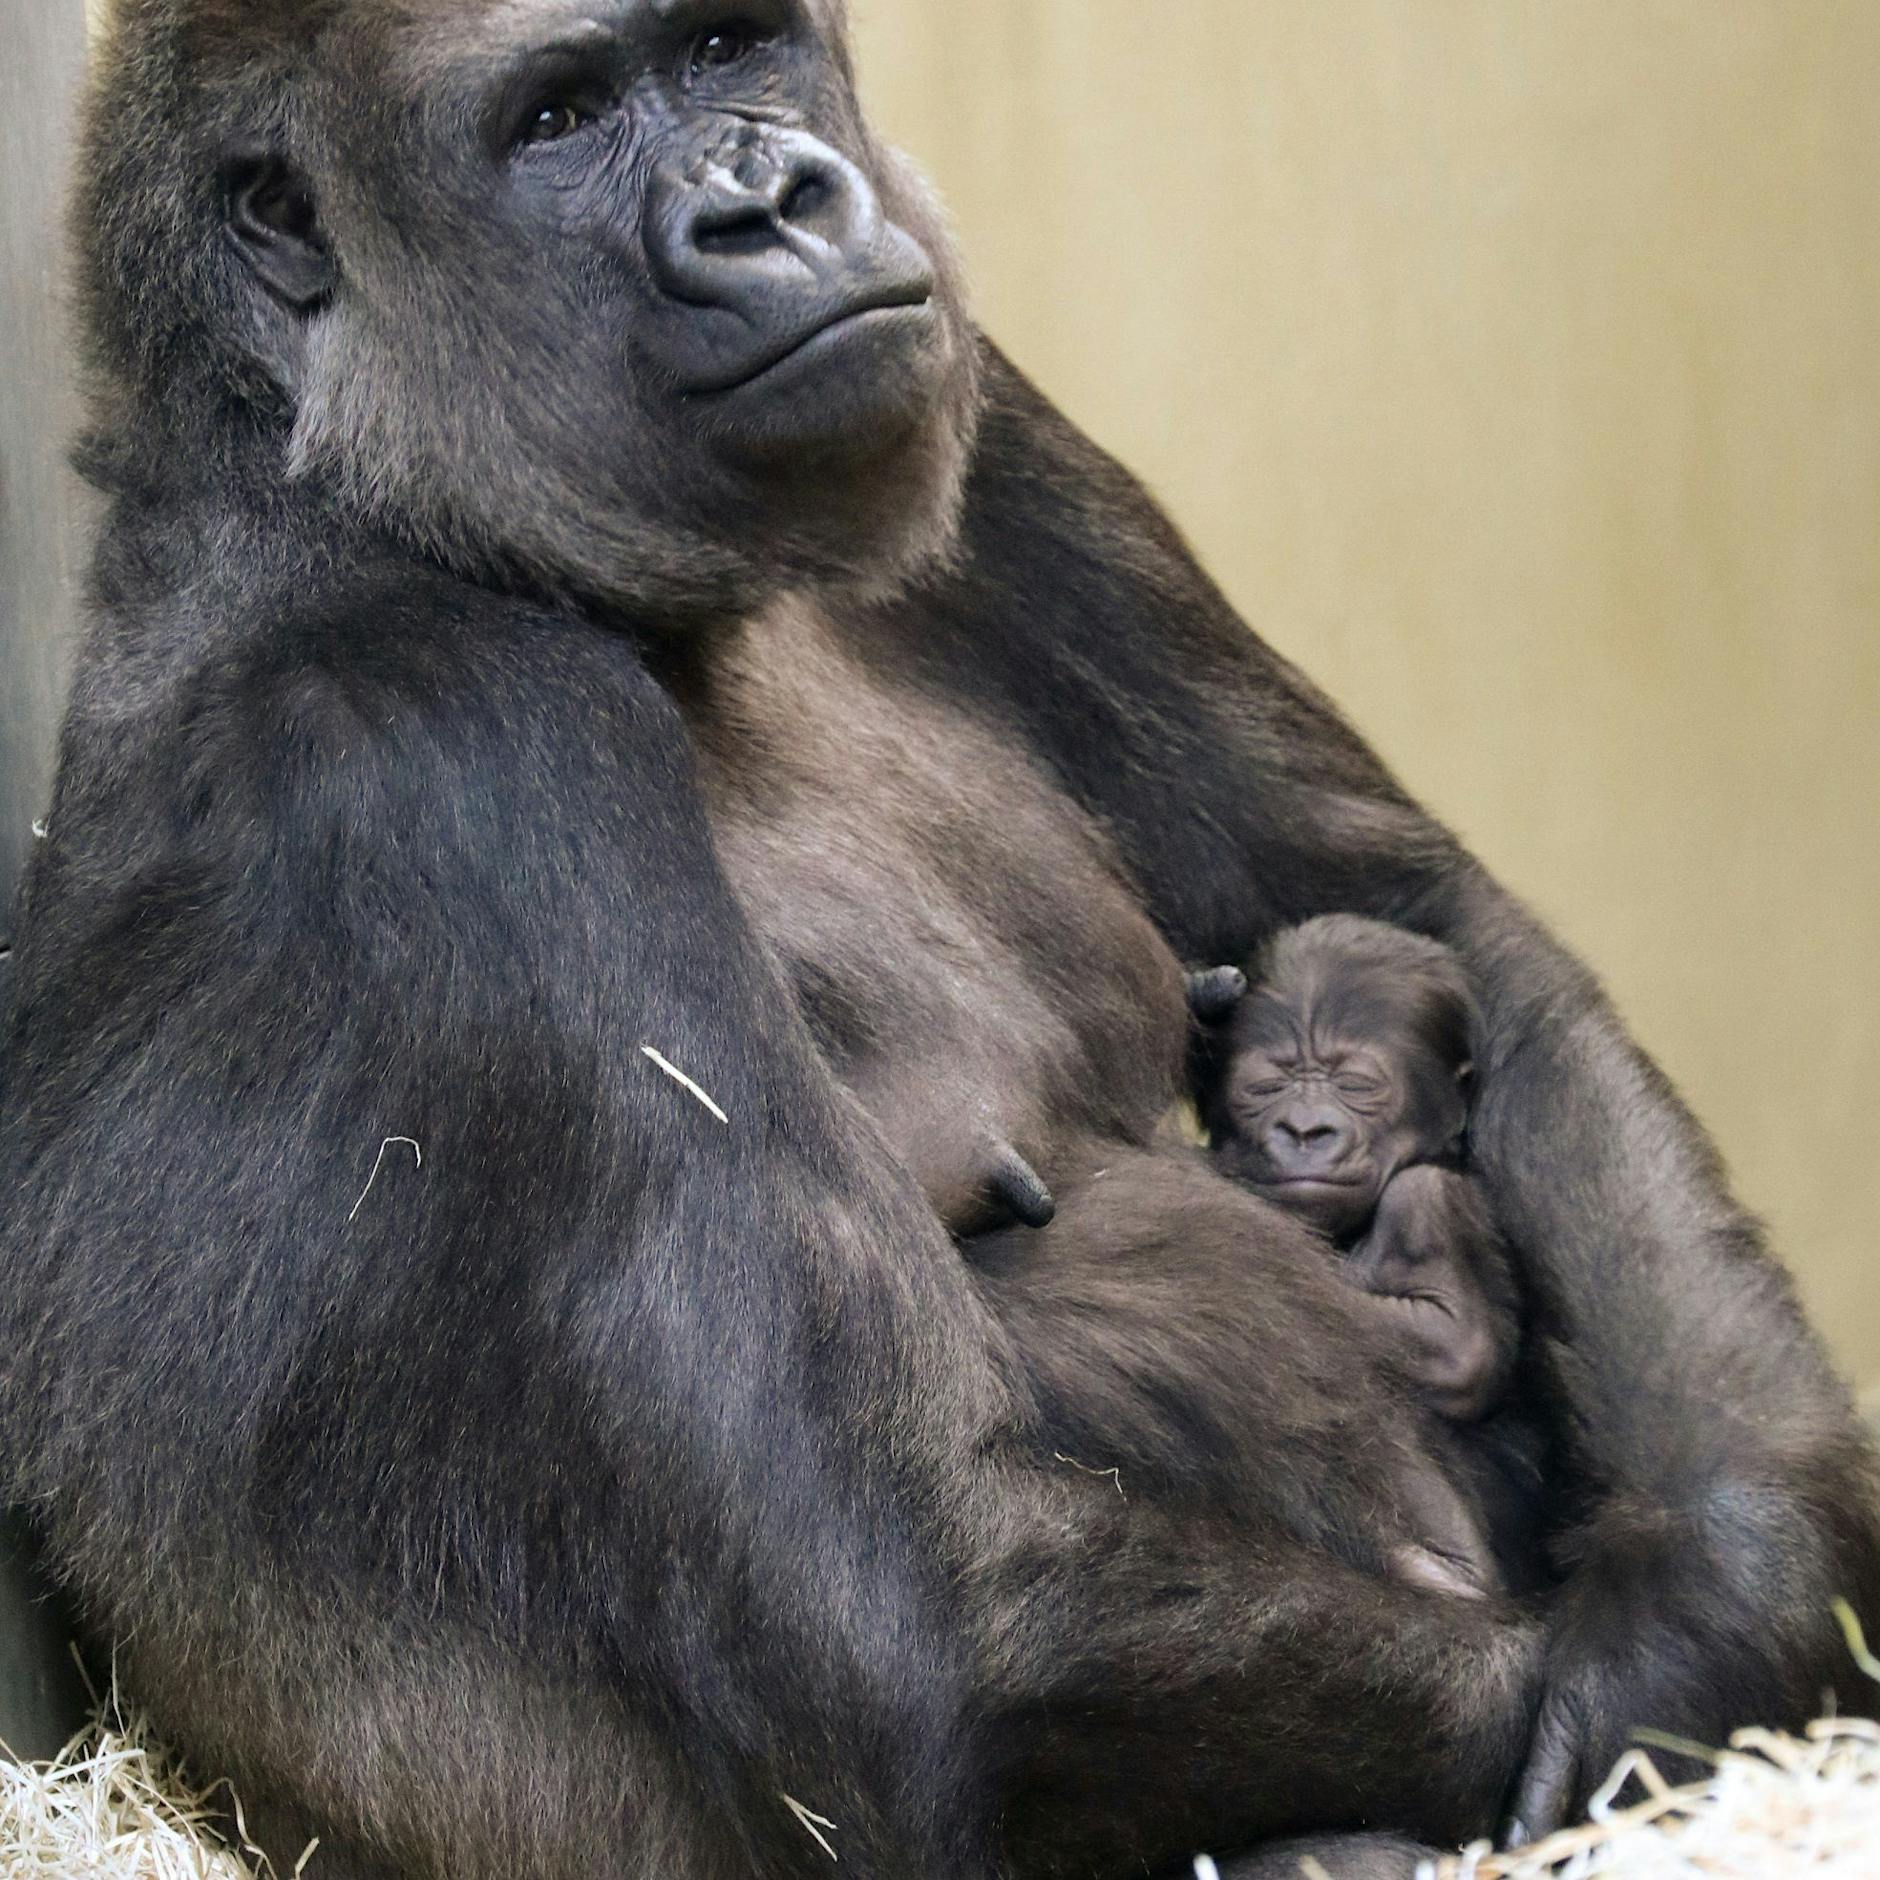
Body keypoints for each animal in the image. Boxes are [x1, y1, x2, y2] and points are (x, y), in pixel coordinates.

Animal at [1, 4, 1875, 1878]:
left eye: (724, 47)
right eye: (557, 120)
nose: (771, 200)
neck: (361, 491)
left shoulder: (980, 406)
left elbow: (1412, 909)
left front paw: (1721, 1604)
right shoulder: (436, 760)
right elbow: (909, 1615)